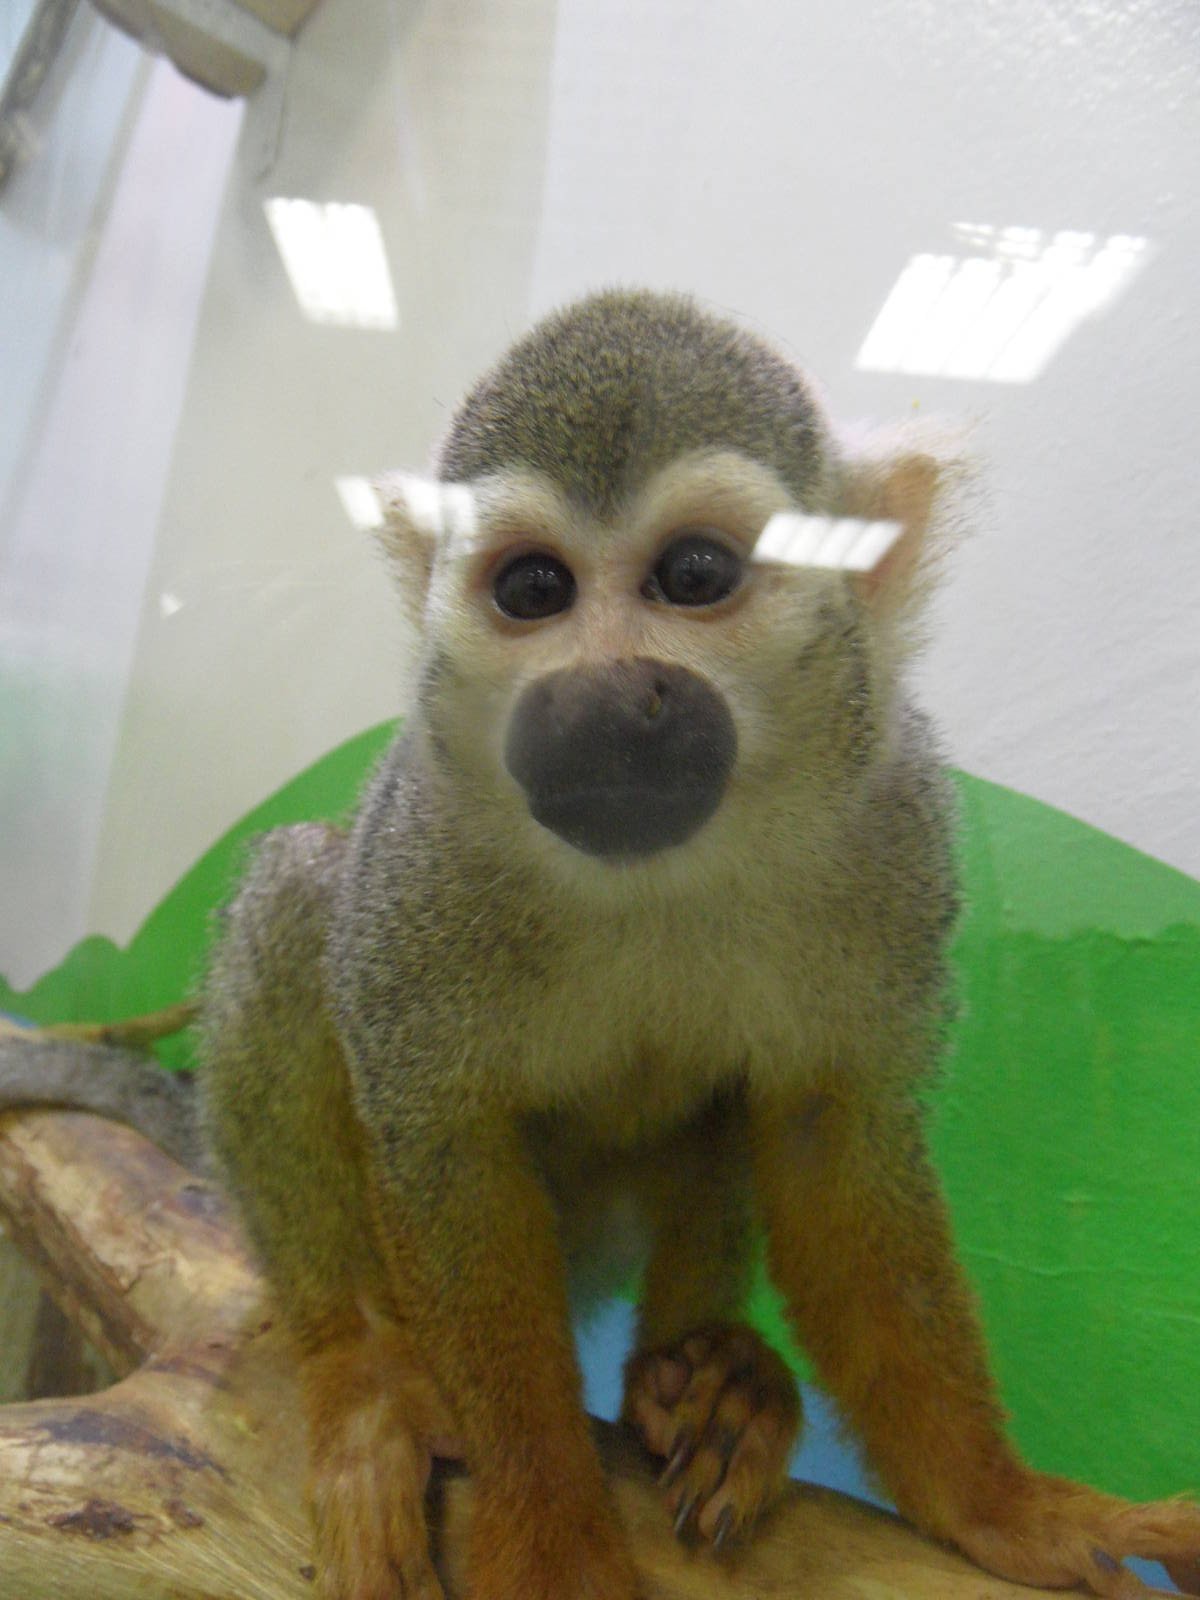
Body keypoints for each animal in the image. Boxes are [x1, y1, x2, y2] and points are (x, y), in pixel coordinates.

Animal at [4, 288, 1198, 1600]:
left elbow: (831, 1136)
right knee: (301, 889)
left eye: (695, 574)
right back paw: (361, 1361)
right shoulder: (422, 839)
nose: (607, 693)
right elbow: (444, 1138)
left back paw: (699, 1379)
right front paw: (547, 1528)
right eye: (534, 590)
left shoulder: (894, 817)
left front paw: (997, 1501)